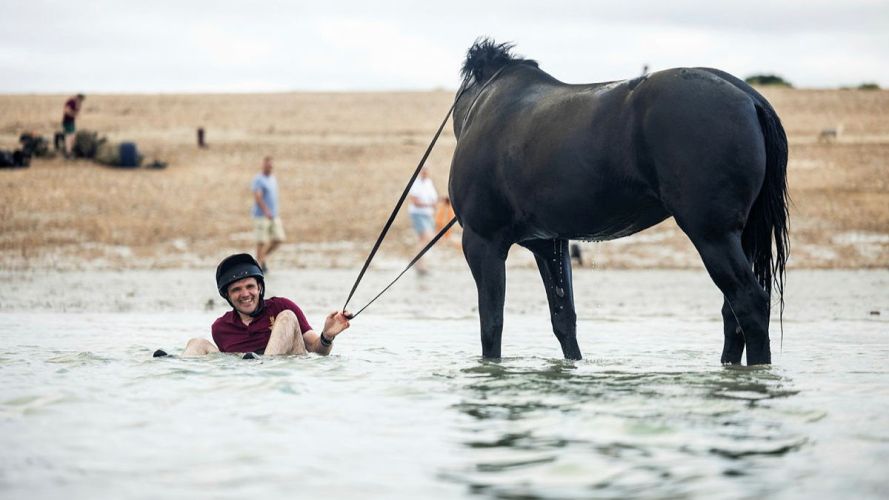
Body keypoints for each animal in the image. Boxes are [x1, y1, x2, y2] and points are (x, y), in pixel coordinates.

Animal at [448, 39, 788, 365]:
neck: (485, 106)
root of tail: (748, 96)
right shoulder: (549, 244)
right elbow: (564, 320)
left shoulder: (483, 242)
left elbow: (491, 325)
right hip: (741, 236)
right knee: (732, 315)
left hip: (713, 235)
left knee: (749, 304)